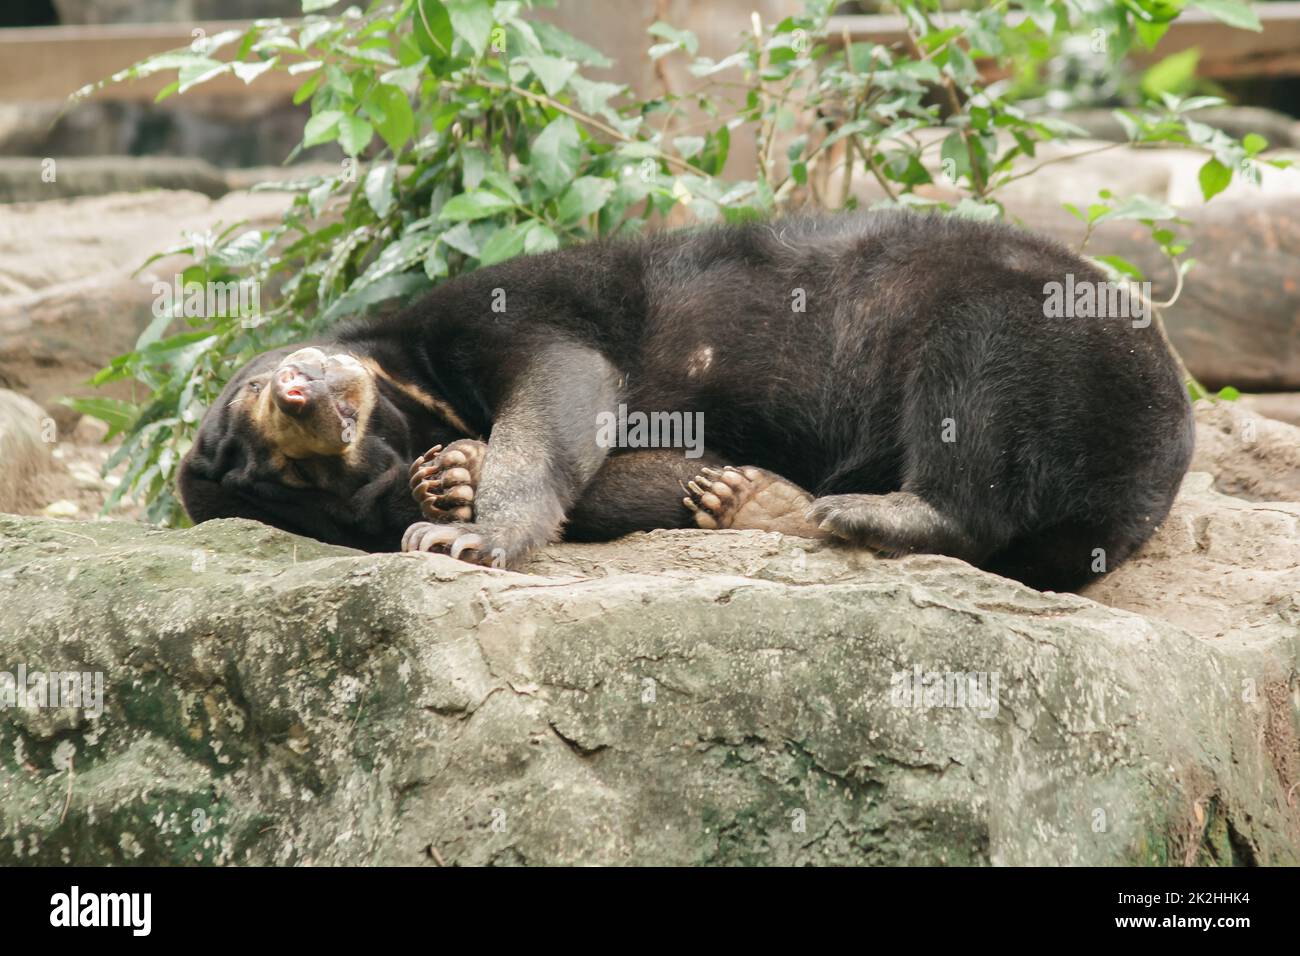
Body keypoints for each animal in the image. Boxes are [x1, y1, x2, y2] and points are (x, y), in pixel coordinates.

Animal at [178, 213, 1190, 595]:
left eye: (252, 388)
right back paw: (765, 503)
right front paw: (448, 483)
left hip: (1029, 319)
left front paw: (464, 528)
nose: (300, 394)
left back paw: (874, 509)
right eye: (292, 468)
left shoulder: (514, 305)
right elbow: (647, 471)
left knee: (975, 401)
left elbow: (565, 383)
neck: (417, 389)